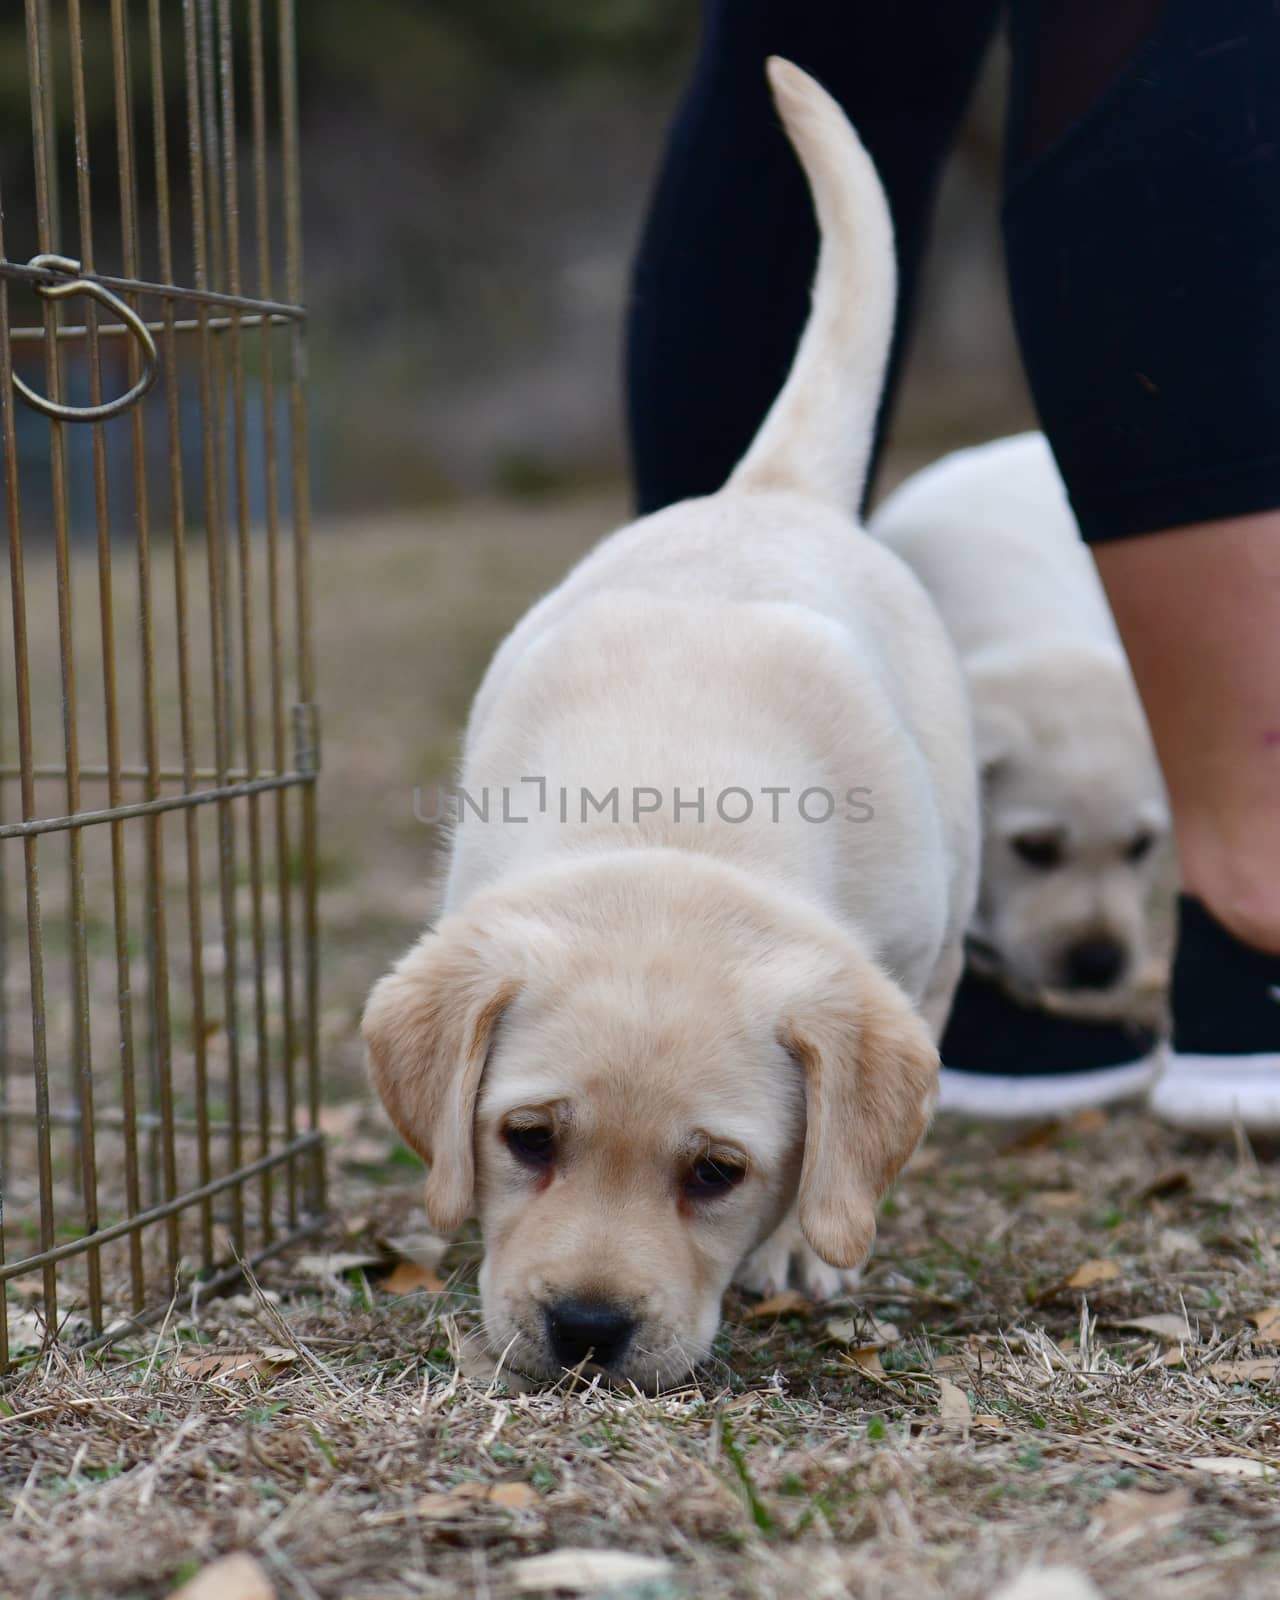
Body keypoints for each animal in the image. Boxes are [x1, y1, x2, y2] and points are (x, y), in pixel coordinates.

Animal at [363, 62, 979, 1388]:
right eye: (527, 1137)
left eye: (714, 1172)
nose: (586, 1330)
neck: (678, 822)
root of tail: (769, 489)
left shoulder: (899, 965)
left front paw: (801, 1246)